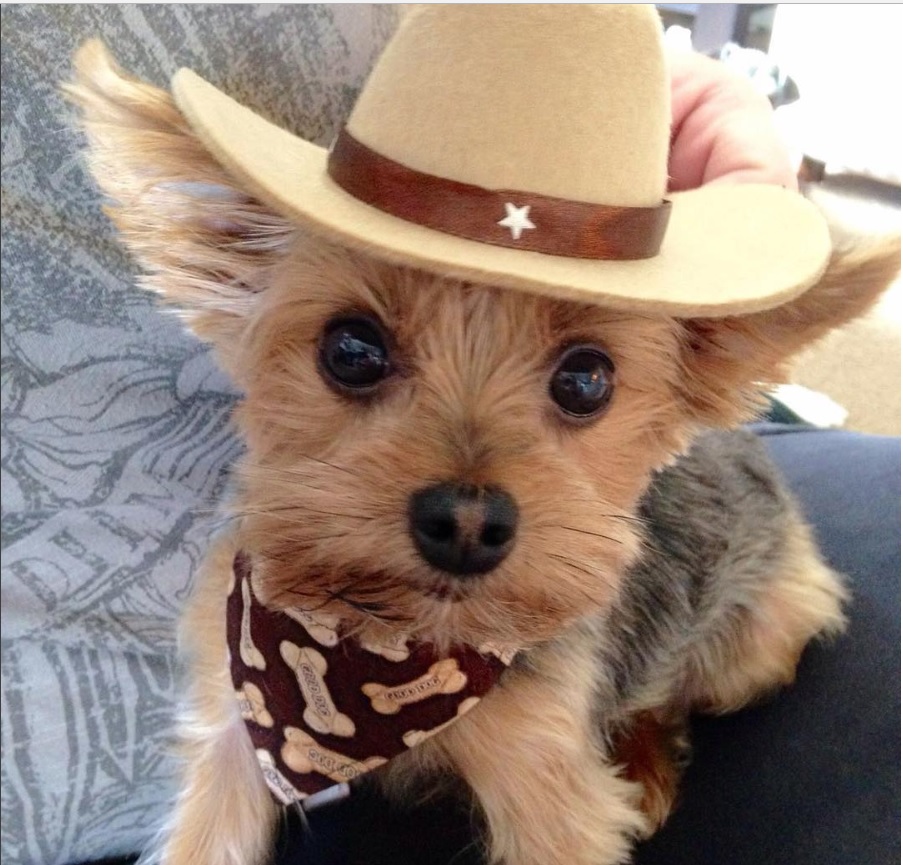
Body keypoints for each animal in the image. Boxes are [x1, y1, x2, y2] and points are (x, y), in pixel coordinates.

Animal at [63, 11, 896, 864]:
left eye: (586, 378)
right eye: (350, 348)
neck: (385, 648)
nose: (466, 521)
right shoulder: (230, 726)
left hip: (757, 634)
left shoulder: (546, 778)